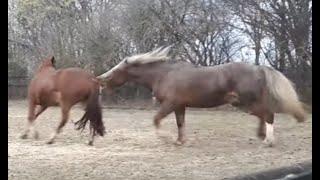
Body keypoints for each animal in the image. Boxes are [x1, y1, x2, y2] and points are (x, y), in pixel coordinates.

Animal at [96, 46, 306, 146]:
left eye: (116, 71)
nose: (100, 80)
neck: (164, 74)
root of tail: (258, 68)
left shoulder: (170, 103)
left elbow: (156, 120)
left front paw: (165, 138)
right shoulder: (179, 106)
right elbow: (180, 123)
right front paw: (180, 141)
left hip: (247, 103)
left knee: (268, 115)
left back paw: (268, 141)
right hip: (244, 103)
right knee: (264, 115)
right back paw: (262, 136)